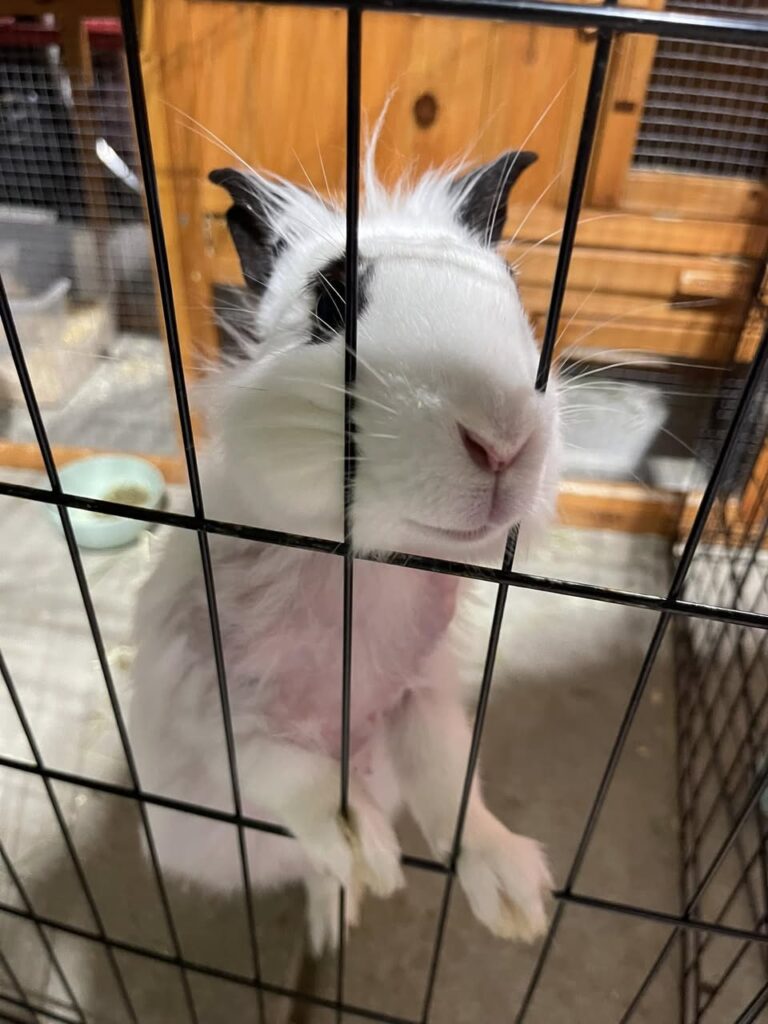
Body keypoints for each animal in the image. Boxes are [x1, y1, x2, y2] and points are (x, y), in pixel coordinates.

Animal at [128, 146, 561, 956]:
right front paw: (366, 848)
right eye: (329, 306)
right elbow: (285, 771)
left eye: (515, 293)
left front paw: (517, 899)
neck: (359, 571)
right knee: (304, 857)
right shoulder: (214, 703)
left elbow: (450, 780)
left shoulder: (420, 695)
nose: (502, 441)